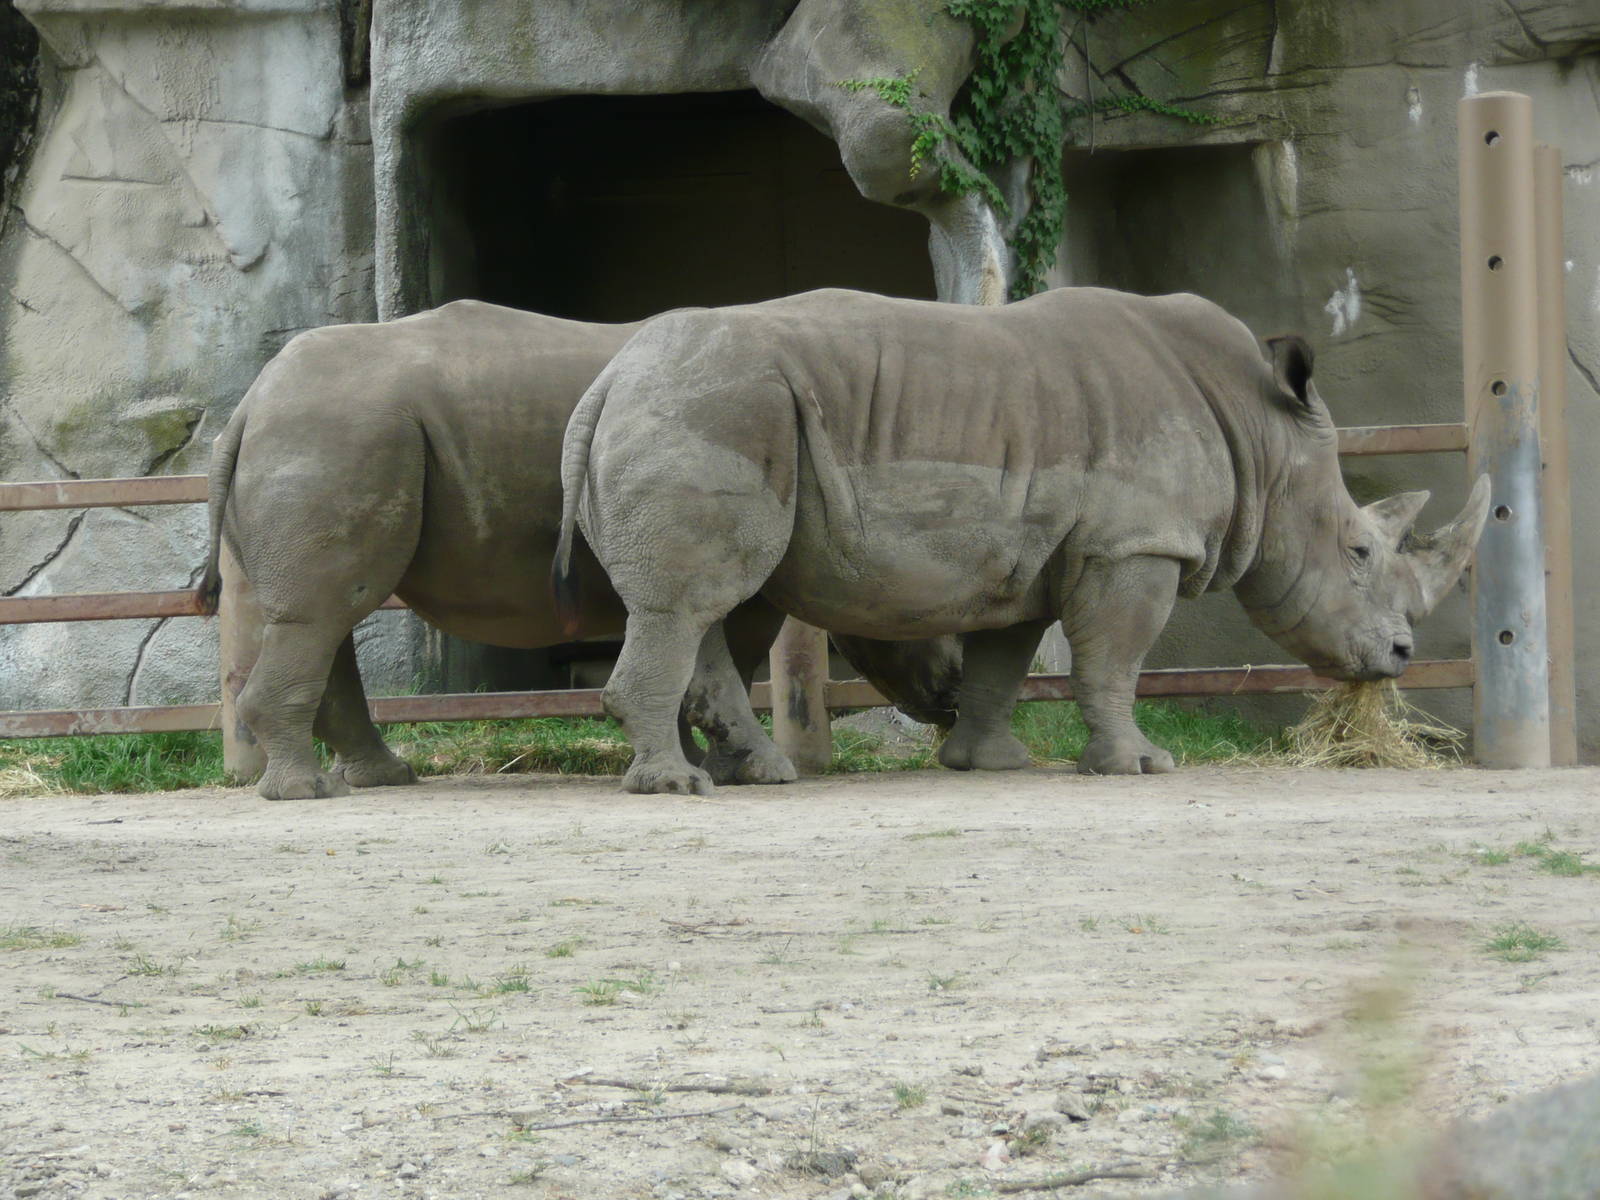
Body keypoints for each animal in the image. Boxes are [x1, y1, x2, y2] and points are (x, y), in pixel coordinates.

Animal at [197, 299, 960, 802]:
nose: (951, 694)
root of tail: (248, 403)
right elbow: (726, 658)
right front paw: (727, 768)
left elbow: (698, 656)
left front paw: (693, 762)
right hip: (334, 432)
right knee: (323, 609)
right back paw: (309, 792)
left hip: (328, 434)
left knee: (322, 613)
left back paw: (380, 778)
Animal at [557, 286, 1490, 795]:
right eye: (1359, 553)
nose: (1402, 655)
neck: (1264, 436)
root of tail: (608, 377)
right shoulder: (1135, 544)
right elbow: (1115, 660)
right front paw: (1140, 766)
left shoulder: (1034, 555)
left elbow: (1004, 662)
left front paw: (991, 762)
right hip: (712, 407)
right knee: (689, 602)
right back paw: (676, 785)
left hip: (702, 405)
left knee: (718, 606)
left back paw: (757, 774)